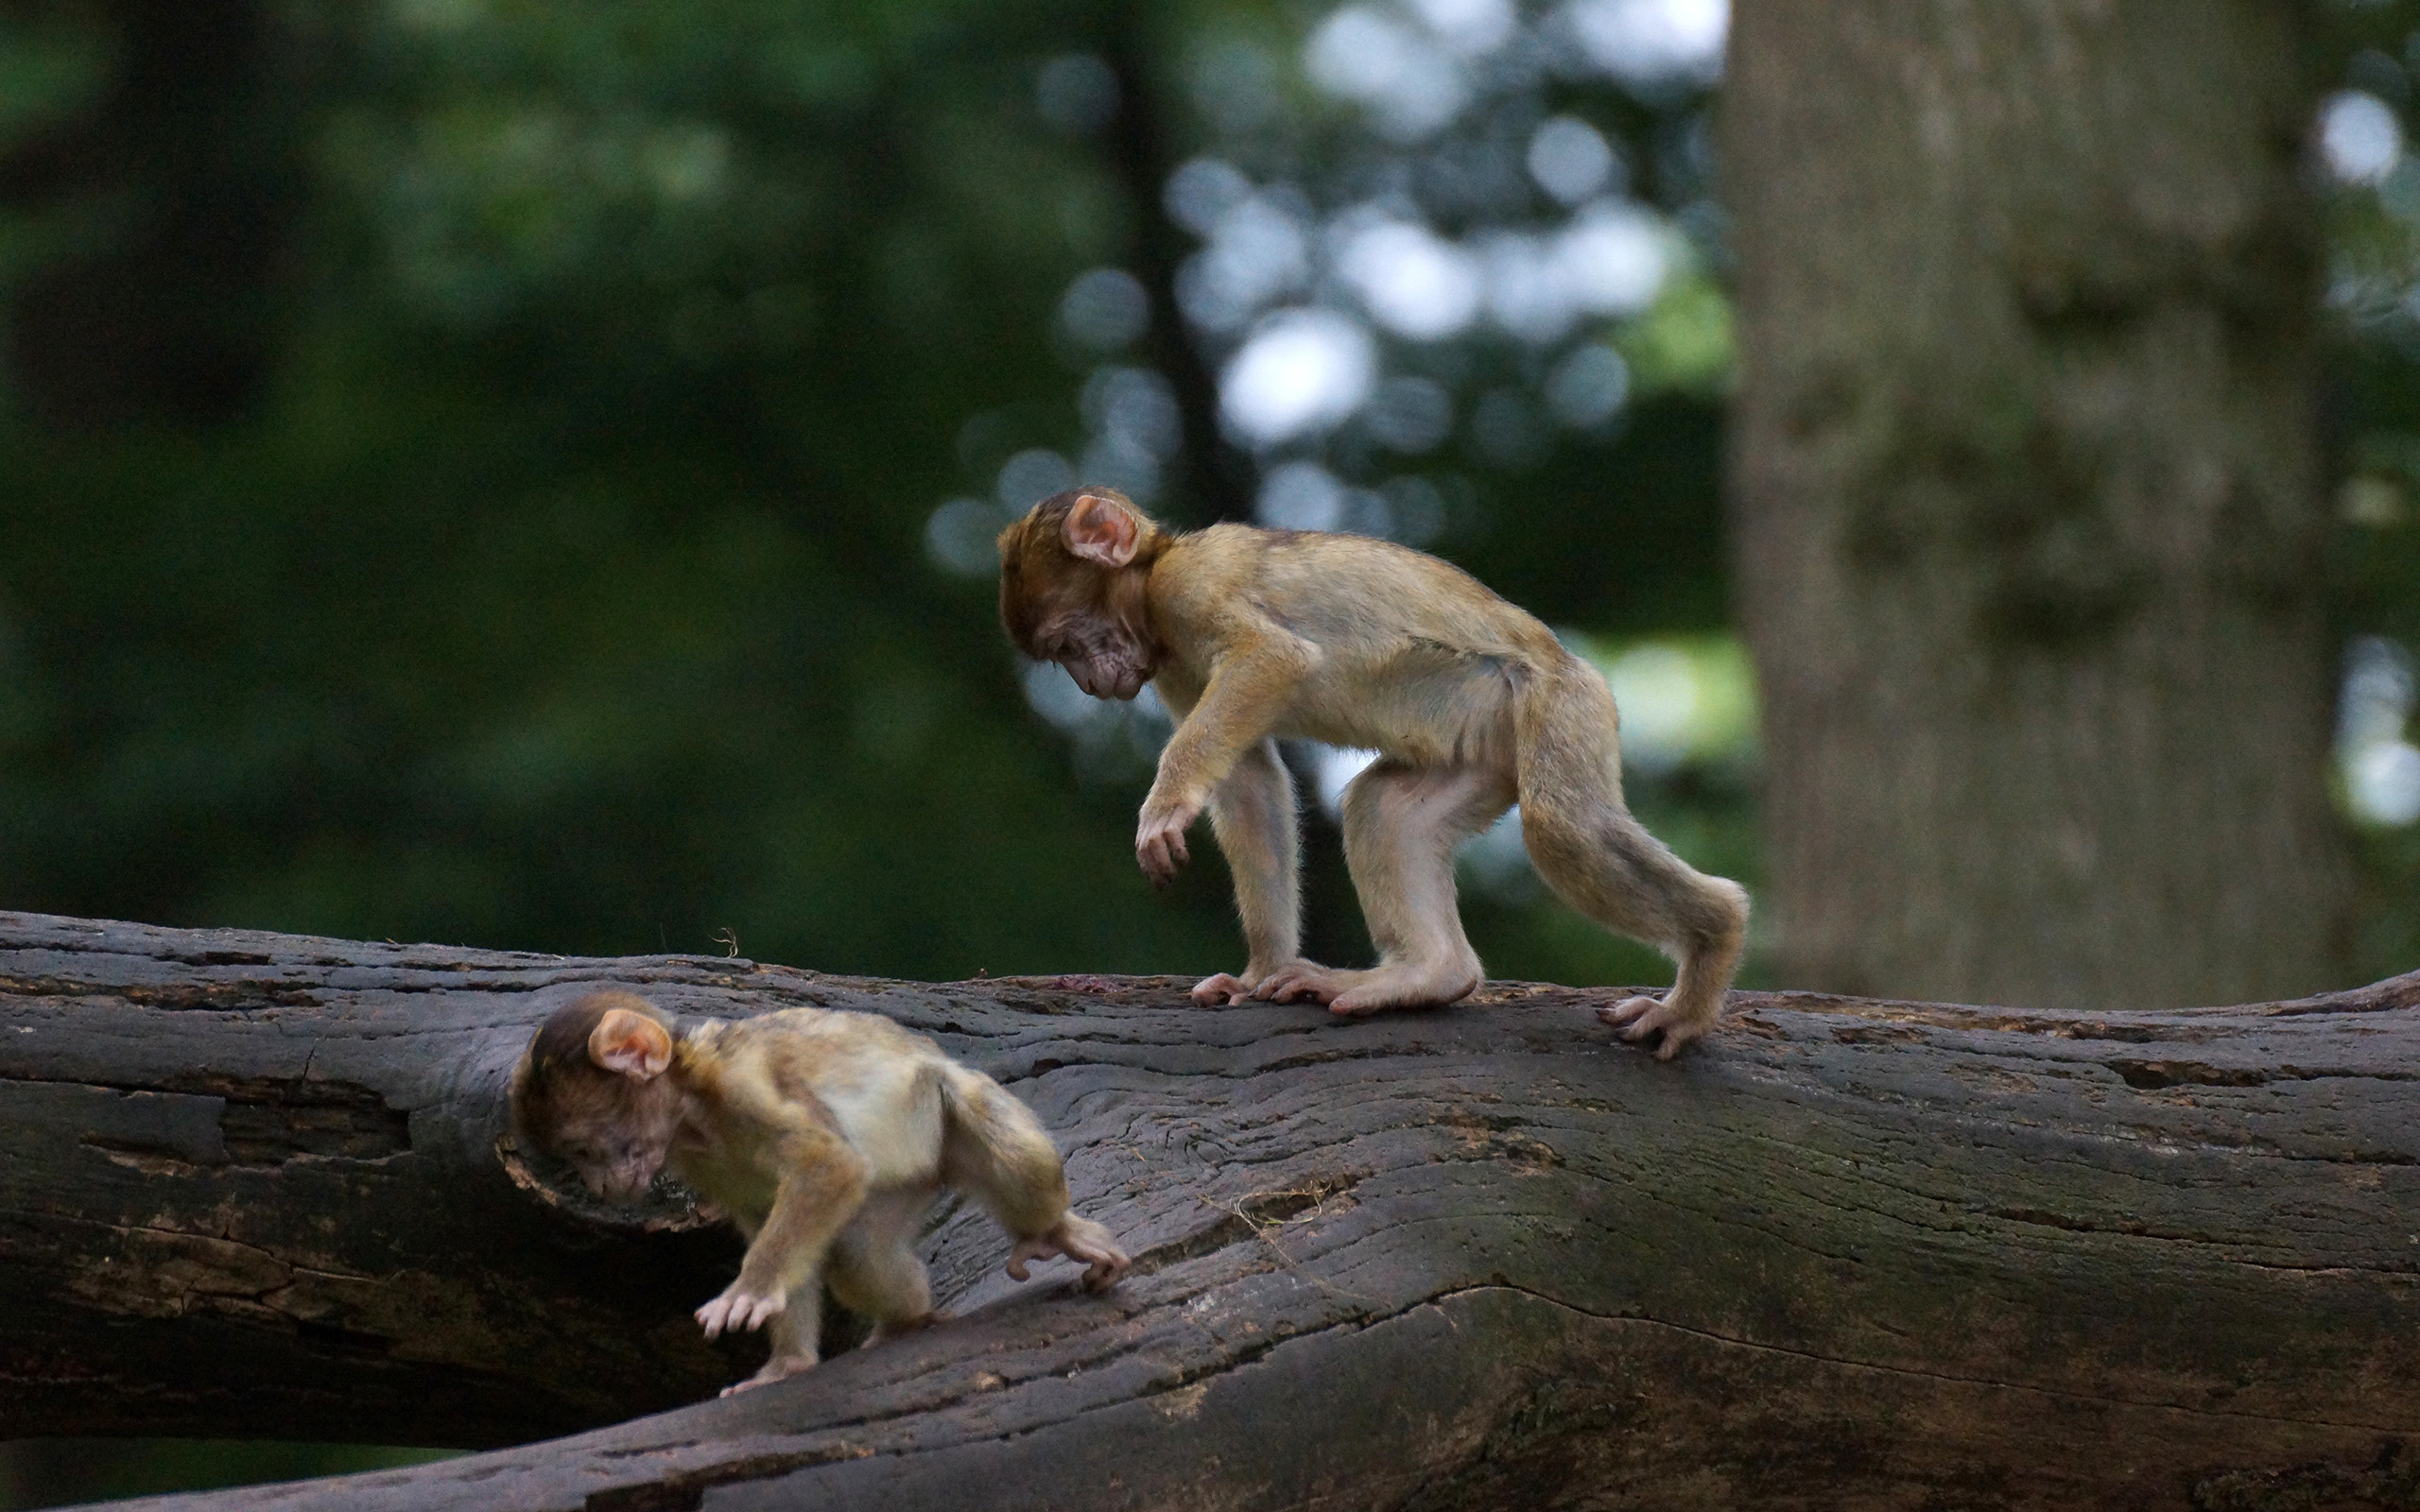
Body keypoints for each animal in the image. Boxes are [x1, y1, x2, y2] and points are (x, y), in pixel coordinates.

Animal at [509, 989, 1128, 1394]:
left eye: (585, 1149)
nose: (600, 1184)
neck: (690, 1111)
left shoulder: (741, 1091)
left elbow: (830, 1164)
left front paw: (751, 1288)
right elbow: (767, 1214)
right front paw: (789, 1362)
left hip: (946, 1111)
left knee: (993, 1136)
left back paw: (1052, 1231)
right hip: (902, 1186)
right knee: (859, 1253)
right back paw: (906, 1320)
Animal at [998, 487, 1749, 1059]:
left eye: (1070, 640)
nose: (1091, 683)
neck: (1156, 577)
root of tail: (1576, 666)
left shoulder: (1190, 590)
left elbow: (1273, 658)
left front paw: (1166, 801)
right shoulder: (1171, 660)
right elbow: (1248, 781)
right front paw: (1262, 970)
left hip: (1561, 704)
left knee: (1562, 830)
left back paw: (1710, 949)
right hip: (1485, 753)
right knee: (1383, 810)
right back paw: (1428, 975)